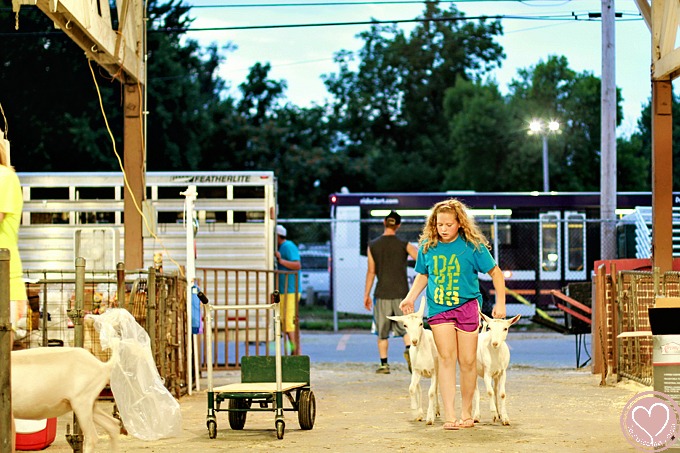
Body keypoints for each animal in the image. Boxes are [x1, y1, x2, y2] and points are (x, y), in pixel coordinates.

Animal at [388, 296, 440, 424]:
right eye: (405, 325)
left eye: (421, 323)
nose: (414, 341)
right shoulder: (416, 371)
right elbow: (412, 389)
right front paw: (415, 411)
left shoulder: (434, 371)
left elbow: (431, 392)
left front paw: (430, 418)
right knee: (419, 389)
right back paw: (420, 413)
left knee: (436, 389)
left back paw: (436, 410)